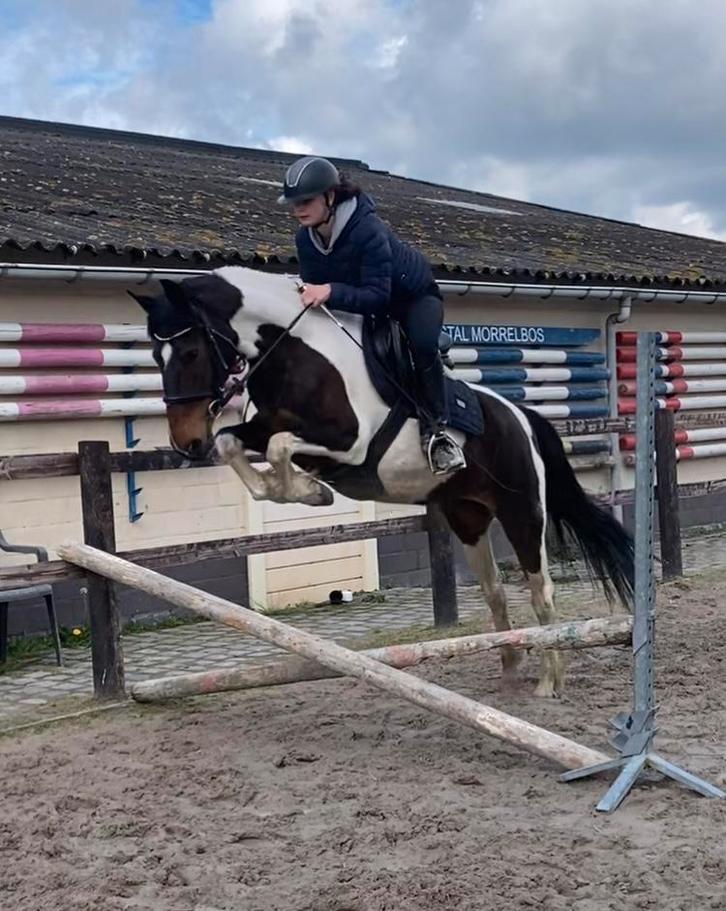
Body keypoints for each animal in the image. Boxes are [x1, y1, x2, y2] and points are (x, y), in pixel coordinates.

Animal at [131, 265, 634, 698]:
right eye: (156, 355)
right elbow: (235, 444)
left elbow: (278, 448)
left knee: (540, 591)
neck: (297, 354)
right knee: (494, 592)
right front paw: (298, 490)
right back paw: (510, 664)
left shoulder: (346, 444)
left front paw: (308, 491)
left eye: (191, 352)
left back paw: (550, 679)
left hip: (522, 511)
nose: (185, 441)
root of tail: (520, 416)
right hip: (467, 516)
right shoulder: (270, 427)